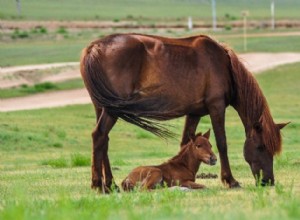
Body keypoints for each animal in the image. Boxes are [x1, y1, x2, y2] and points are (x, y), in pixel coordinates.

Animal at [79, 33, 288, 192]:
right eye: (260, 147)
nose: (268, 181)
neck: (224, 66)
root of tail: (94, 48)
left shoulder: (194, 113)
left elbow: (186, 142)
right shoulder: (216, 107)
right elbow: (222, 143)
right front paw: (230, 180)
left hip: (103, 108)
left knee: (103, 141)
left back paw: (110, 184)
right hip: (111, 110)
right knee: (99, 136)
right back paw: (98, 185)